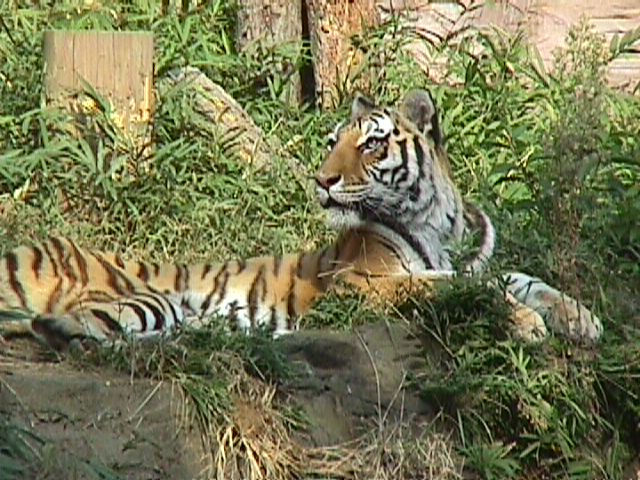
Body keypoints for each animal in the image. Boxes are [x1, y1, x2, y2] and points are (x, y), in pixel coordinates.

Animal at [0, 88, 604, 348]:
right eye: (333, 142)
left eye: (372, 143)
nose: (322, 180)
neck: (436, 224)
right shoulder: (363, 283)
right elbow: (447, 286)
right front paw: (528, 324)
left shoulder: (471, 262)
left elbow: (517, 278)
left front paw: (581, 317)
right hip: (138, 296)